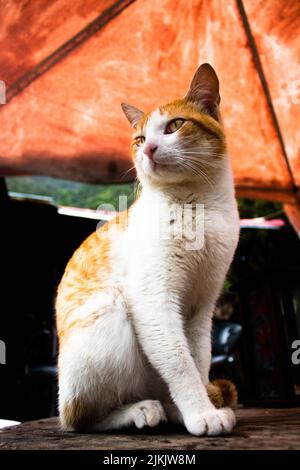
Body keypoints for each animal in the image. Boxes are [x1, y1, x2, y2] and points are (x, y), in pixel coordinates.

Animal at [55, 63, 239, 436]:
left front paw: (200, 407)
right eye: (139, 139)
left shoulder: (203, 306)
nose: (149, 148)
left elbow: (198, 360)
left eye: (175, 125)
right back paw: (140, 410)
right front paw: (202, 414)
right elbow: (180, 362)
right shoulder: (153, 300)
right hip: (110, 309)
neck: (198, 209)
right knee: (79, 417)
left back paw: (171, 409)